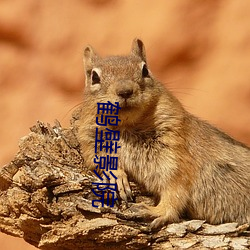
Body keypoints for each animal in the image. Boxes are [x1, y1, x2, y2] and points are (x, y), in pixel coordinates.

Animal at [77, 38, 249, 229]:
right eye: (94, 77)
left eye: (145, 70)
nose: (125, 91)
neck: (126, 127)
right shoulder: (90, 139)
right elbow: (97, 158)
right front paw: (116, 176)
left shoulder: (175, 154)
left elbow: (175, 189)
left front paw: (156, 211)